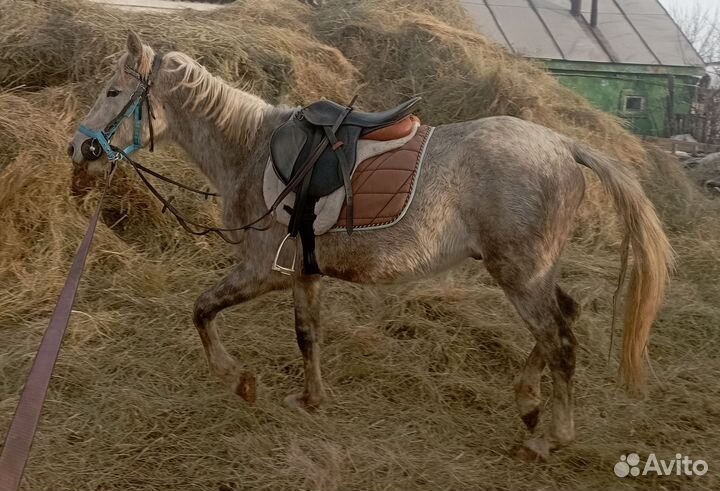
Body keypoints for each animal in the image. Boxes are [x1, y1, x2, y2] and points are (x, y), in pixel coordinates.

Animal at [68, 32, 672, 458]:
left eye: (113, 92)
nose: (79, 148)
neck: (251, 149)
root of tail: (566, 146)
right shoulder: (303, 272)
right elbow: (306, 336)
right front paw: (310, 399)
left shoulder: (263, 270)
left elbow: (200, 310)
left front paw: (239, 380)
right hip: (531, 273)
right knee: (562, 322)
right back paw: (528, 402)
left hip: (520, 275)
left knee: (561, 341)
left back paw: (549, 438)